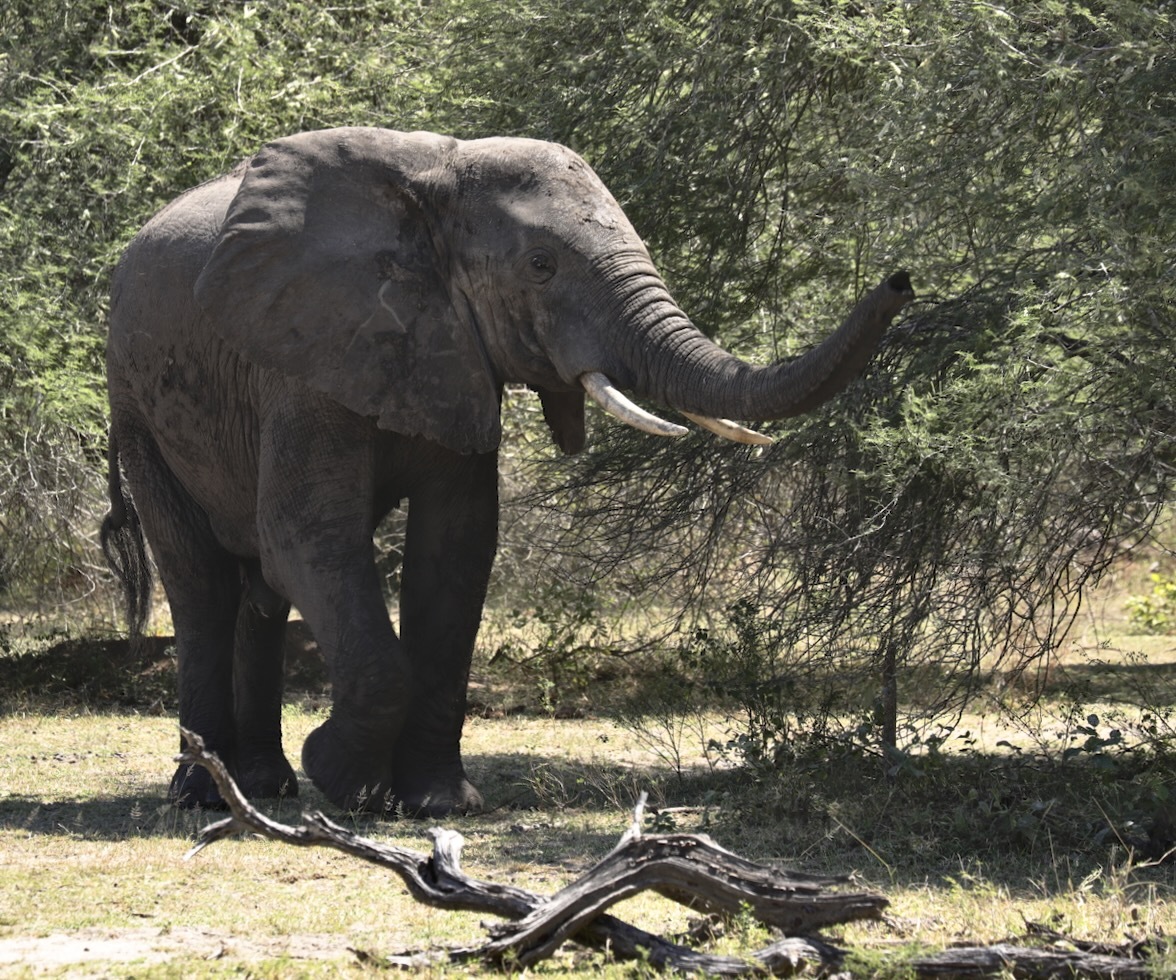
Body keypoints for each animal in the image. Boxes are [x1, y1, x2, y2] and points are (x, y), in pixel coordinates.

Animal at [98, 130, 907, 818]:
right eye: (541, 266)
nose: (901, 280)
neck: (437, 178)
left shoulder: (454, 354)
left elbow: (457, 547)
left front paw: (438, 804)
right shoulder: (302, 357)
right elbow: (308, 535)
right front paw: (343, 779)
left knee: (259, 593)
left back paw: (264, 788)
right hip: (135, 408)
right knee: (203, 581)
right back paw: (204, 796)